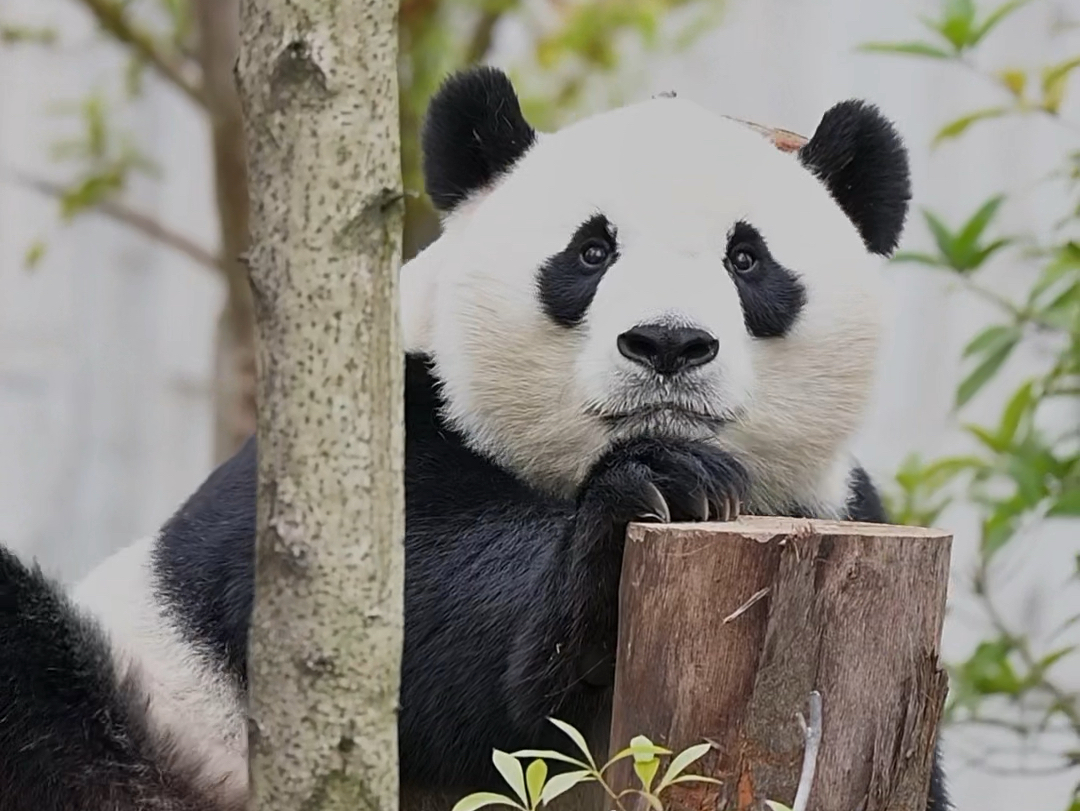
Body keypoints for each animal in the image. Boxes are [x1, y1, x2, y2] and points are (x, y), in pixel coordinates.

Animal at [0, 66, 946, 811]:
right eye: (591, 250)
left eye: (747, 260)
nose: (668, 343)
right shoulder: (388, 426)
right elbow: (404, 618)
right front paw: (657, 490)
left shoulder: (840, 502)